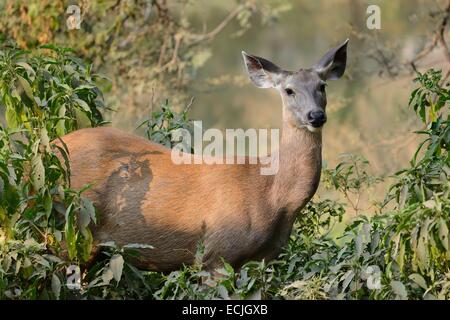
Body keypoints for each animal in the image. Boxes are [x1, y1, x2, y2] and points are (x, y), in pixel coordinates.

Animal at [58, 39, 348, 270]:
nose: (315, 116)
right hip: (70, 233)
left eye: (322, 86)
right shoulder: (216, 253)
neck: (272, 195)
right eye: (289, 90)